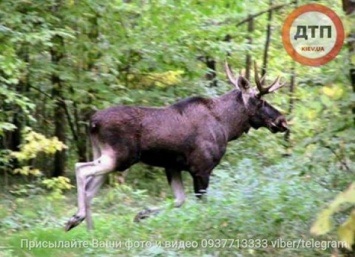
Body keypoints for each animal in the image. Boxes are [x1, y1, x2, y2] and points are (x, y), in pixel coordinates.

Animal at [66, 61, 290, 230]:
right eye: (260, 101)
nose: (282, 120)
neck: (227, 127)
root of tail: (93, 122)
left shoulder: (172, 166)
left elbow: (179, 200)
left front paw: (141, 214)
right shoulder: (202, 168)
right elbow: (201, 203)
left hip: (106, 154)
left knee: (90, 188)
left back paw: (86, 227)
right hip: (121, 156)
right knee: (81, 169)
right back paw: (77, 217)